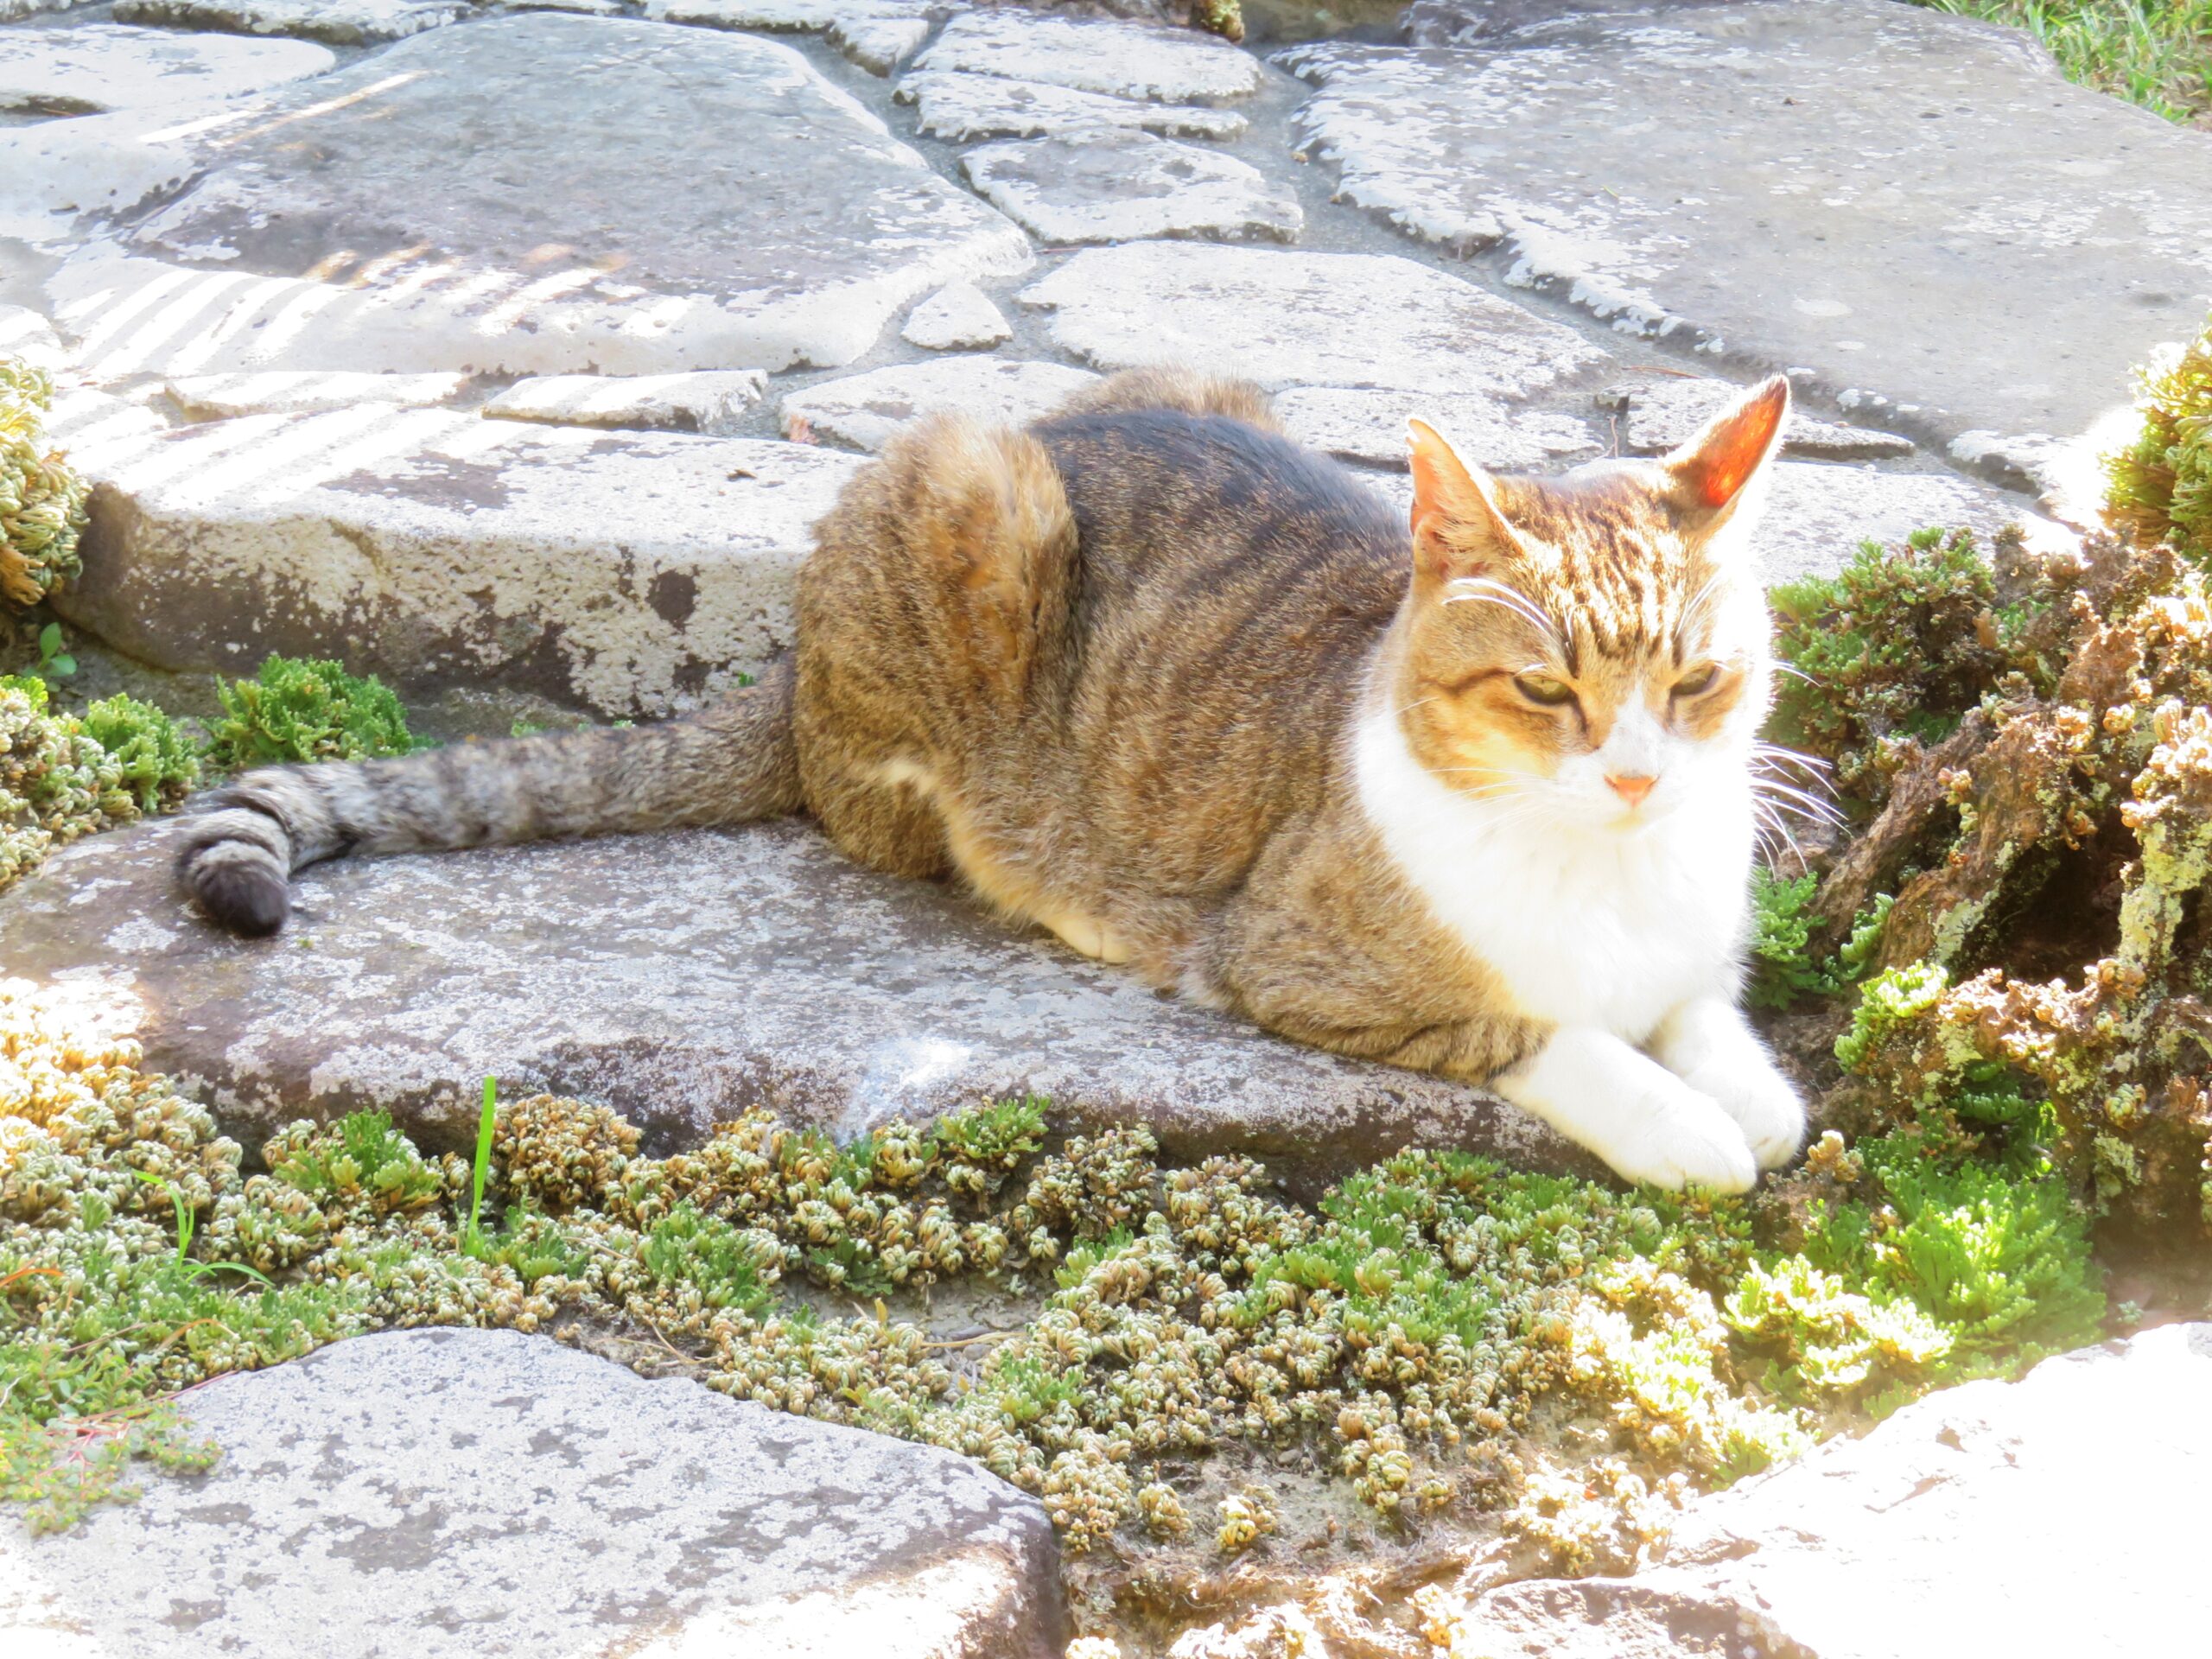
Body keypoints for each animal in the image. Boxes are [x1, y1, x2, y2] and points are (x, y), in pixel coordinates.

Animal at [176, 362, 1796, 1194]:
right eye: (1544, 690)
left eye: (1696, 683)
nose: (1638, 778)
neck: (1611, 874)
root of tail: (789, 666)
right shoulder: (1303, 967)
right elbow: (1558, 1040)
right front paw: (1688, 1126)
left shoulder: (1693, 960)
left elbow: (1732, 1053)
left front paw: (1745, 1092)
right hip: (979, 506)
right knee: (884, 807)